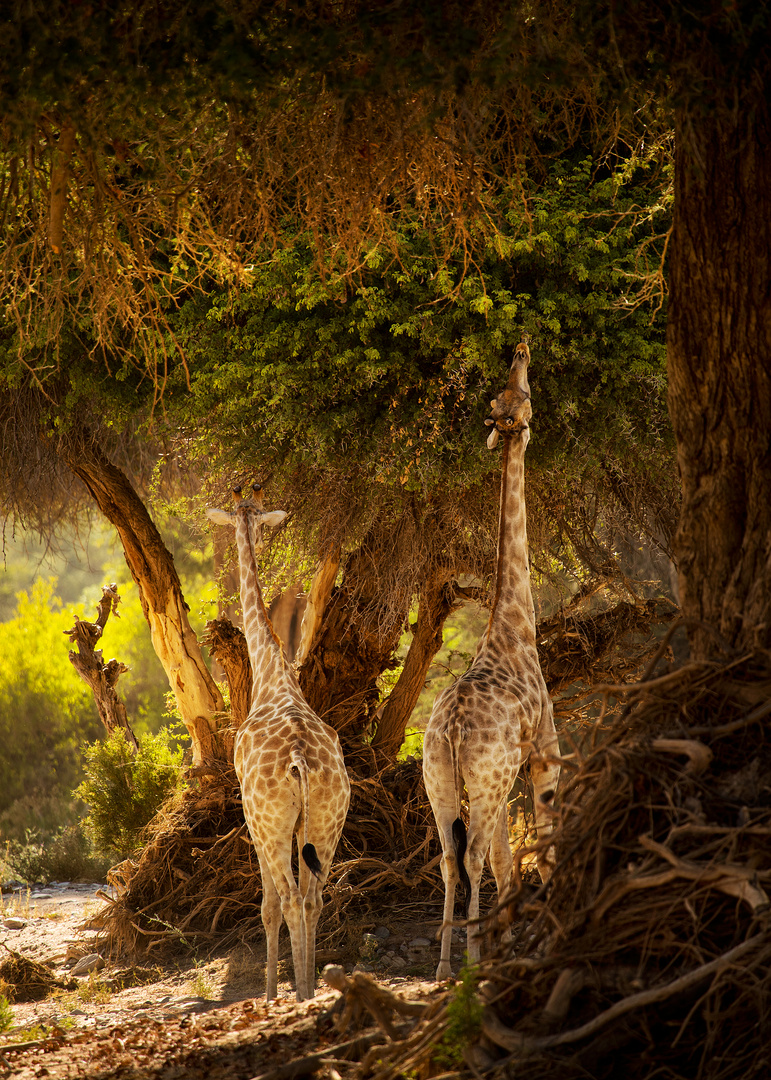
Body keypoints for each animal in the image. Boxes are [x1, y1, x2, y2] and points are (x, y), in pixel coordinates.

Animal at [204, 486, 347, 997]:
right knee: (314, 897)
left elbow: (265, 907)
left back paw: (292, 993)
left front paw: (268, 993)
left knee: (286, 899)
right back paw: (310, 987)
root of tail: (300, 761)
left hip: (272, 822)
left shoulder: (252, 819)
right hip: (328, 818)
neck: (272, 672)